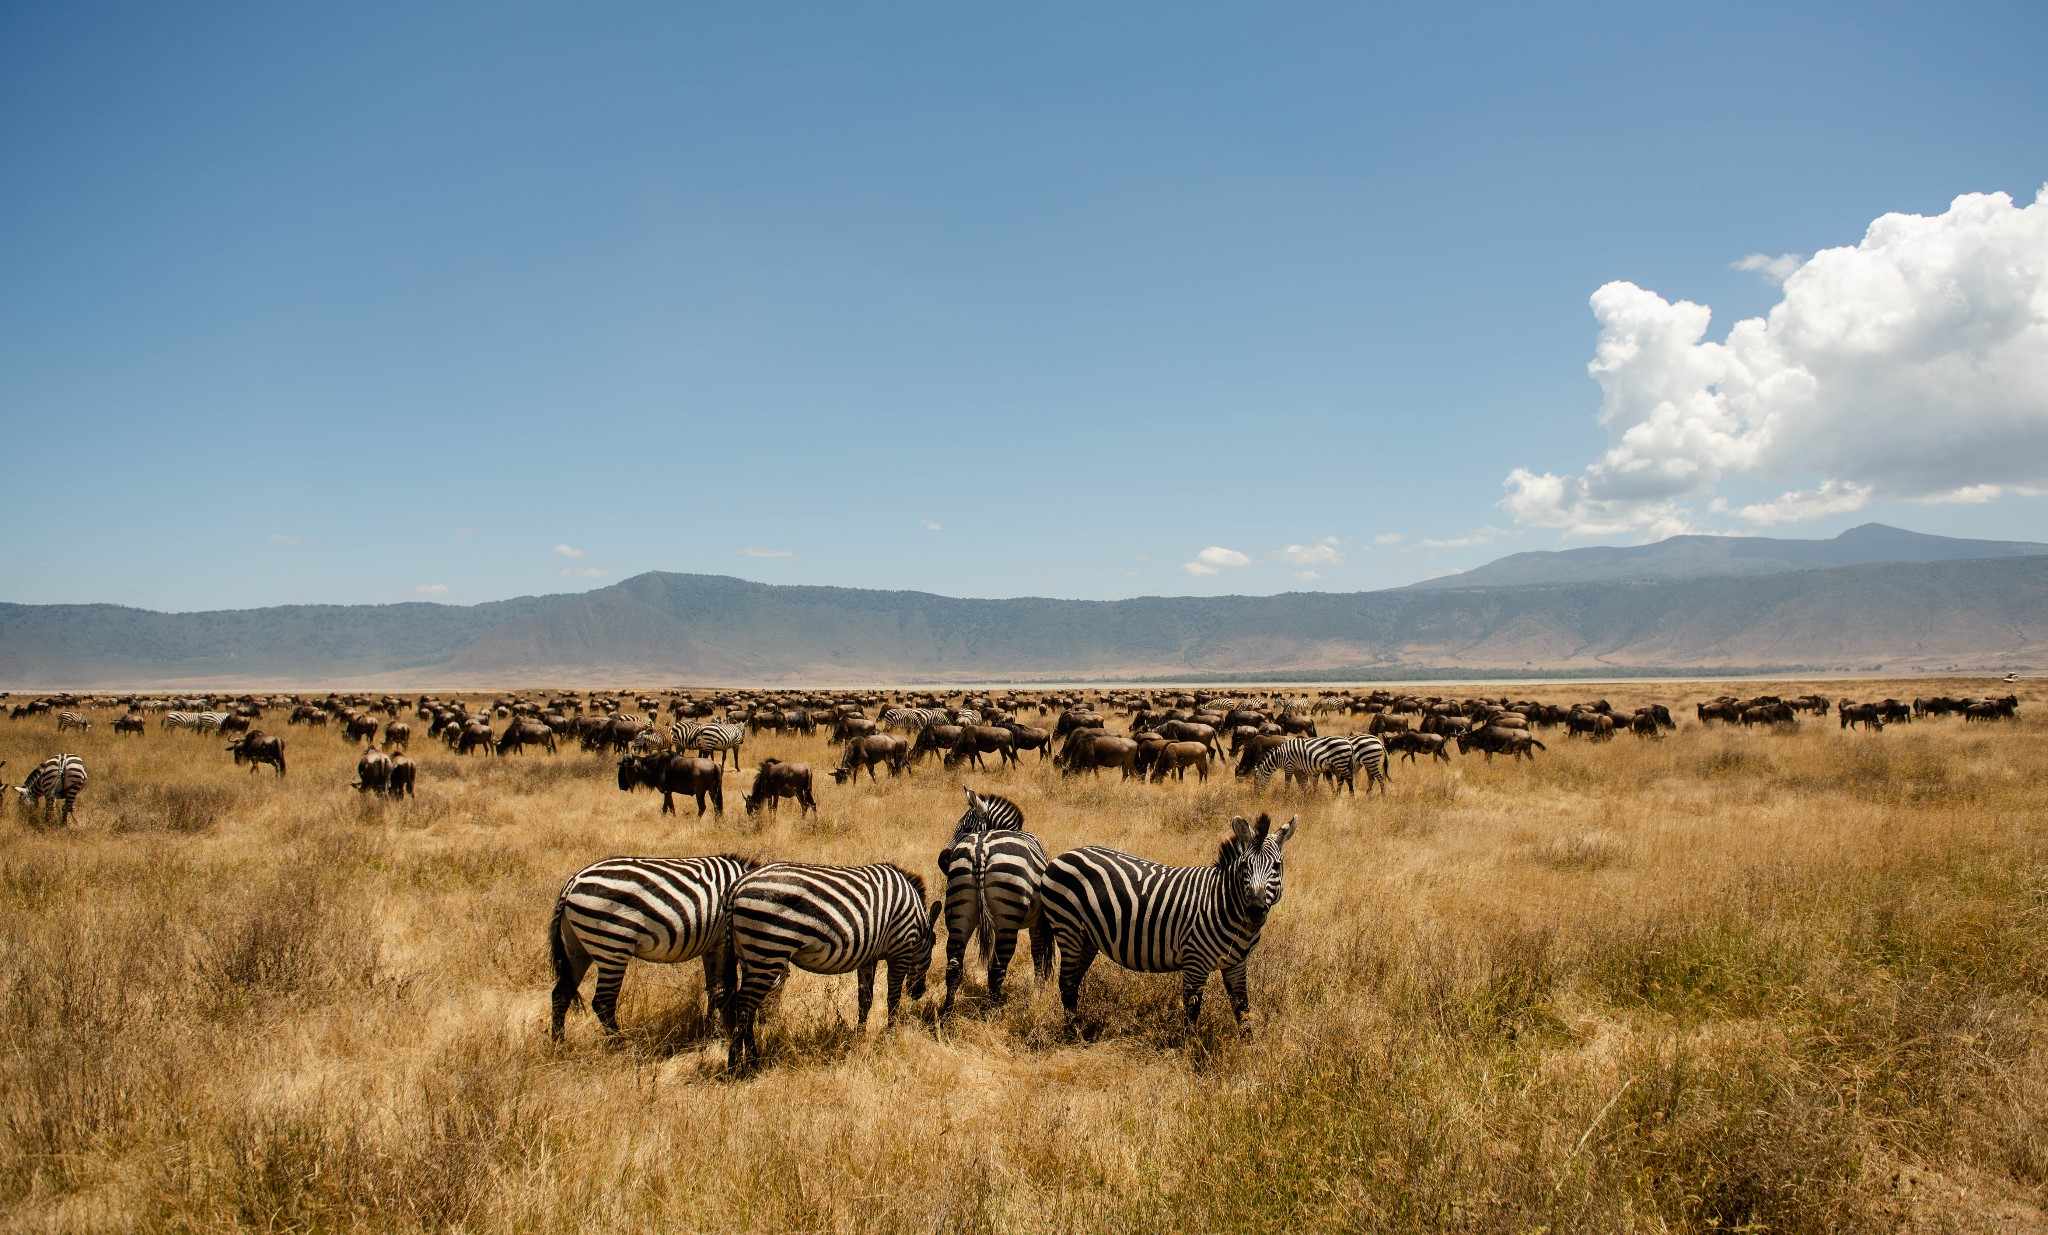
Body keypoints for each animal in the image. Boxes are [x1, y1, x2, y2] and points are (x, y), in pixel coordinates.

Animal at [544, 856, 761, 1040]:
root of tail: (573, 881)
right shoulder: (723, 942)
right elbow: (725, 989)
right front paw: (722, 1032)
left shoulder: (711, 947)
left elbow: (713, 989)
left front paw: (710, 1032)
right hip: (612, 944)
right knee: (603, 1001)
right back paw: (620, 1044)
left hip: (576, 948)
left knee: (561, 994)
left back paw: (559, 1044)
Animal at [720, 860, 942, 1073]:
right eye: (934, 944)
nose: (918, 993)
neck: (917, 920)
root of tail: (737, 886)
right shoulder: (901, 950)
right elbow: (893, 999)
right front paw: (891, 1035)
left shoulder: (869, 957)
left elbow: (865, 999)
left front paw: (859, 1037)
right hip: (768, 949)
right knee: (745, 1006)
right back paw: (746, 1064)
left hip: (747, 955)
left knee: (742, 1005)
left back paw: (740, 1063)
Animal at [937, 790, 1048, 1015]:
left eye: (966, 828)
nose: (942, 861)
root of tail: (981, 849)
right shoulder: (1038, 919)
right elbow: (1038, 953)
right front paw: (1039, 991)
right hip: (1007, 919)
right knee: (997, 968)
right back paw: (994, 1011)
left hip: (958, 912)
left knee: (953, 966)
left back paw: (947, 1014)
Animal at [1040, 815, 1294, 1040]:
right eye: (1244, 866)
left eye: (1276, 866)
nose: (1255, 909)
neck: (1221, 901)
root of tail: (1064, 855)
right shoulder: (1195, 962)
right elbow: (1191, 1013)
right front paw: (1189, 1050)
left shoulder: (1237, 964)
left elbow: (1242, 1009)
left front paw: (1249, 1049)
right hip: (1068, 928)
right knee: (1066, 982)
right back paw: (1072, 1035)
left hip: (1088, 938)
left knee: (1074, 981)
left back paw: (1077, 1026)